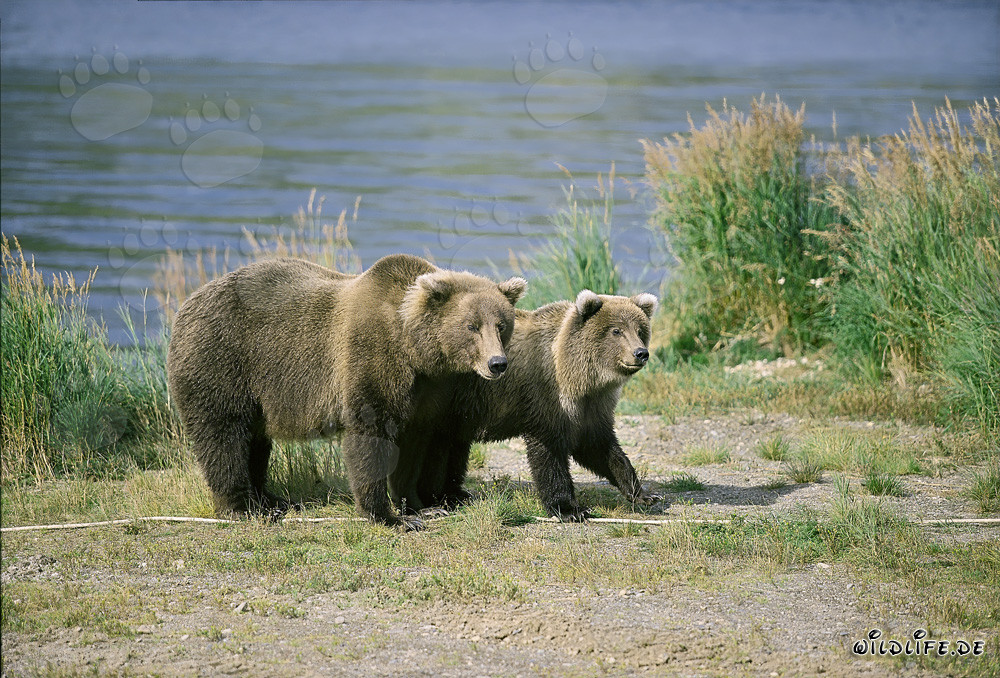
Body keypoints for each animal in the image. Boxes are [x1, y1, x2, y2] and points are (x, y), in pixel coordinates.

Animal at [166, 254, 526, 529]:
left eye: (502, 324)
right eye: (471, 326)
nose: (497, 363)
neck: (413, 348)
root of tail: (186, 305)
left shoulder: (430, 390)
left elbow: (416, 442)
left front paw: (421, 505)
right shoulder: (372, 358)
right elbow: (371, 434)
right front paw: (389, 516)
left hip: (256, 390)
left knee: (255, 439)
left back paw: (271, 499)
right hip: (223, 361)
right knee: (225, 435)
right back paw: (242, 506)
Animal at [394, 289, 659, 521]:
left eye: (640, 329)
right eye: (616, 330)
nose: (640, 353)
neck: (577, 377)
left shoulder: (592, 405)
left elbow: (601, 447)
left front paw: (643, 493)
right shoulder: (545, 396)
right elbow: (549, 453)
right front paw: (570, 509)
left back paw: (457, 494)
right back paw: (435, 499)